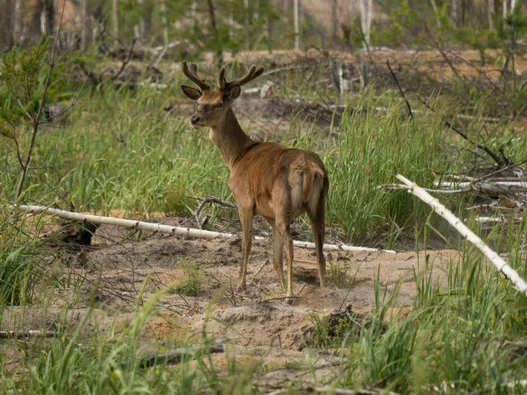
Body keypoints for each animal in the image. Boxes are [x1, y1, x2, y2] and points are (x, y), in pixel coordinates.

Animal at [183, 61, 330, 300]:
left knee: (291, 246)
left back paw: (290, 295)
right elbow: (274, 256)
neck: (237, 156)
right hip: (318, 205)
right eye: (199, 102)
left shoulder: (244, 201)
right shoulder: (268, 214)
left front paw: (240, 284)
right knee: (319, 249)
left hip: (283, 203)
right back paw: (324, 289)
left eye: (219, 103)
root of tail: (309, 169)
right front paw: (278, 285)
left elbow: (247, 244)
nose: (195, 119)